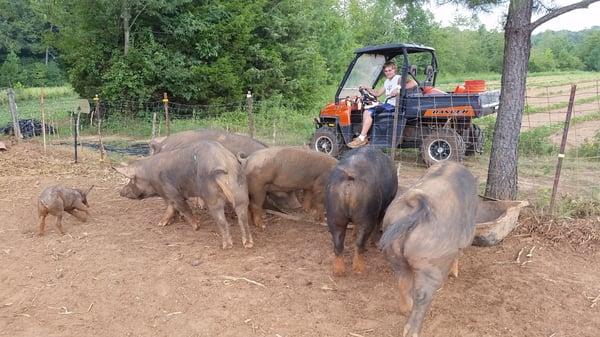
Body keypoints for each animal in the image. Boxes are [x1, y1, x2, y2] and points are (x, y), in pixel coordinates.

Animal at [115, 138, 253, 247]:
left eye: (131, 180)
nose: (121, 192)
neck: (150, 176)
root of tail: (224, 164)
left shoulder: (171, 192)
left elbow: (183, 208)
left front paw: (196, 227)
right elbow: (171, 208)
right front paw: (161, 224)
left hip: (212, 195)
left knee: (221, 220)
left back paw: (226, 245)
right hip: (240, 191)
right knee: (243, 217)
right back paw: (248, 244)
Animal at [324, 148, 398, 276]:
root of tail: (350, 177)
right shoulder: (385, 205)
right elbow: (379, 222)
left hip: (334, 214)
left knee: (338, 242)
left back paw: (339, 271)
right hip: (366, 215)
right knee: (360, 242)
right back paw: (360, 269)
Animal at [380, 161, 478, 334]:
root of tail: (419, 208)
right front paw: (455, 274)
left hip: (393, 251)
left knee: (402, 281)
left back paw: (406, 308)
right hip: (431, 260)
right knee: (423, 295)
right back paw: (412, 331)